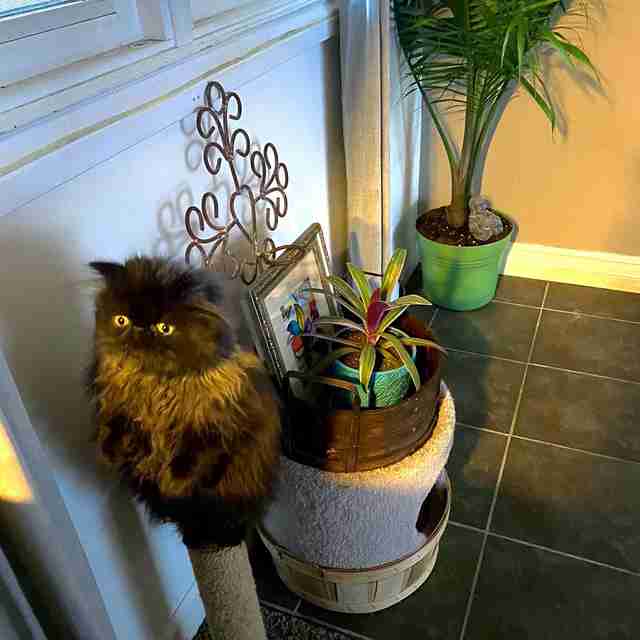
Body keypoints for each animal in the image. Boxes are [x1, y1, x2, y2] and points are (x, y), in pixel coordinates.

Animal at [87, 258, 280, 548]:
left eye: (164, 328)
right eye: (121, 320)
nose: (140, 331)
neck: (156, 386)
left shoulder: (218, 427)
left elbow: (194, 457)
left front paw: (175, 481)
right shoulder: (119, 407)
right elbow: (117, 430)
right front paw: (111, 452)